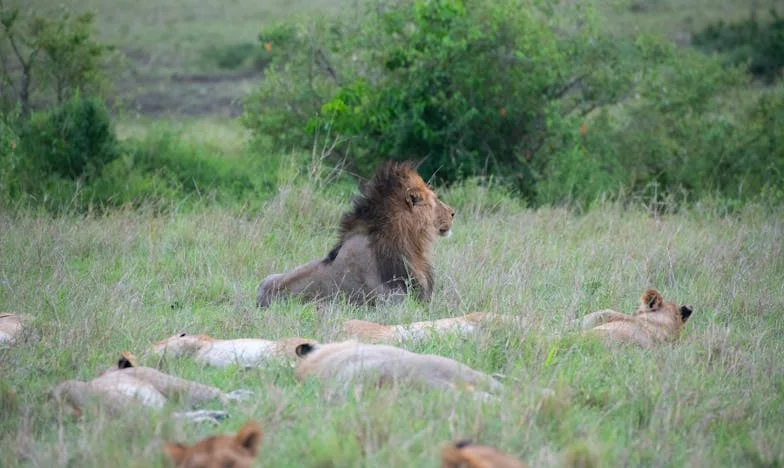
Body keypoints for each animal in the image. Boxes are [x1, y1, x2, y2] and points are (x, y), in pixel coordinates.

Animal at [51, 352, 251, 424]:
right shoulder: (171, 383)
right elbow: (214, 392)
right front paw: (239, 398)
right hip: (129, 407)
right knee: (170, 420)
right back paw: (212, 418)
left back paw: (215, 416)